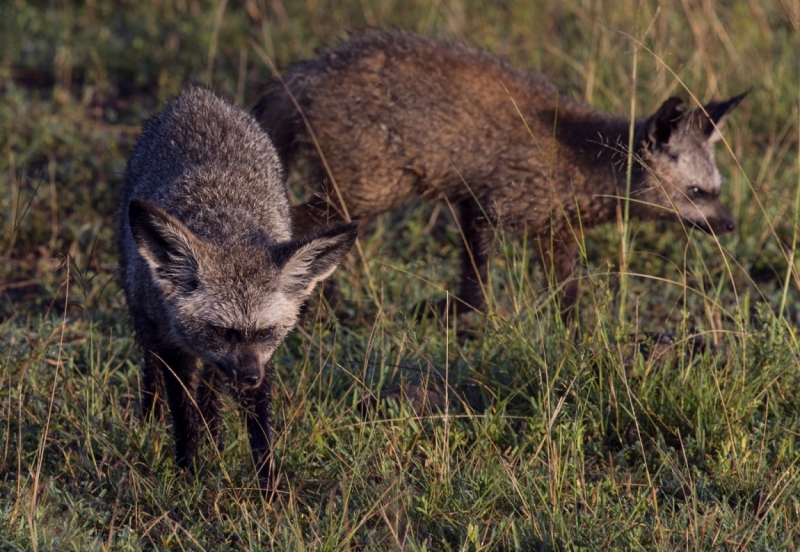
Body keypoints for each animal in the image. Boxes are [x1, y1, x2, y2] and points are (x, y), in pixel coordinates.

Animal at [118, 87, 356, 492]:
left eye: (265, 331)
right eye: (221, 331)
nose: (248, 378)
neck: (227, 225)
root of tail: (198, 96)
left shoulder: (263, 357)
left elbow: (259, 429)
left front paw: (269, 487)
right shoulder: (174, 343)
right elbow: (183, 414)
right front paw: (187, 473)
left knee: (211, 387)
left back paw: (214, 432)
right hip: (141, 312)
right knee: (154, 368)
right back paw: (152, 417)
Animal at [255, 30, 744, 316]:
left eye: (717, 190)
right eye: (696, 192)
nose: (730, 225)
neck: (582, 157)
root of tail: (309, 70)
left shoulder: (550, 230)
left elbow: (564, 292)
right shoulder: (489, 206)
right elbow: (481, 276)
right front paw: (467, 318)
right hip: (369, 191)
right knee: (303, 227)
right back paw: (331, 308)